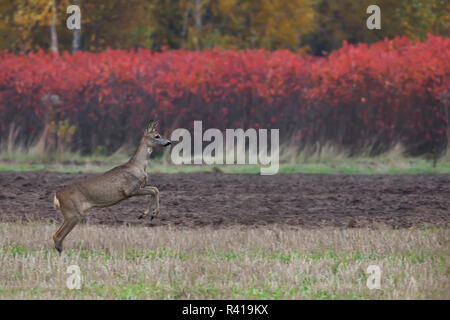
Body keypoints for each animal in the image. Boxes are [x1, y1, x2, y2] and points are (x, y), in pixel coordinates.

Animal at [52, 120, 171, 252]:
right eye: (157, 136)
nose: (169, 142)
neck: (138, 166)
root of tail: (57, 195)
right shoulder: (130, 189)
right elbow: (154, 190)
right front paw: (150, 214)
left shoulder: (137, 188)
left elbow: (155, 189)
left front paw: (145, 215)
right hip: (73, 213)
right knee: (57, 236)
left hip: (71, 213)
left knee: (56, 236)